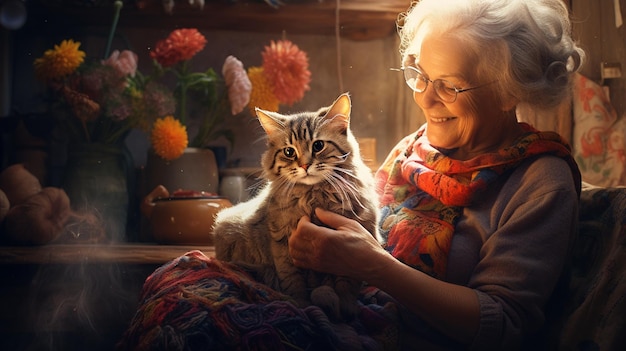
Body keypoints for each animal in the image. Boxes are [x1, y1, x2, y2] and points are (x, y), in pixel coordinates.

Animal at [212, 93, 380, 322]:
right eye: (289, 152)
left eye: (318, 146)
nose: (304, 165)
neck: (313, 196)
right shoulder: (283, 244)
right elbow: (294, 280)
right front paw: (302, 305)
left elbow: (346, 282)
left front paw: (347, 306)